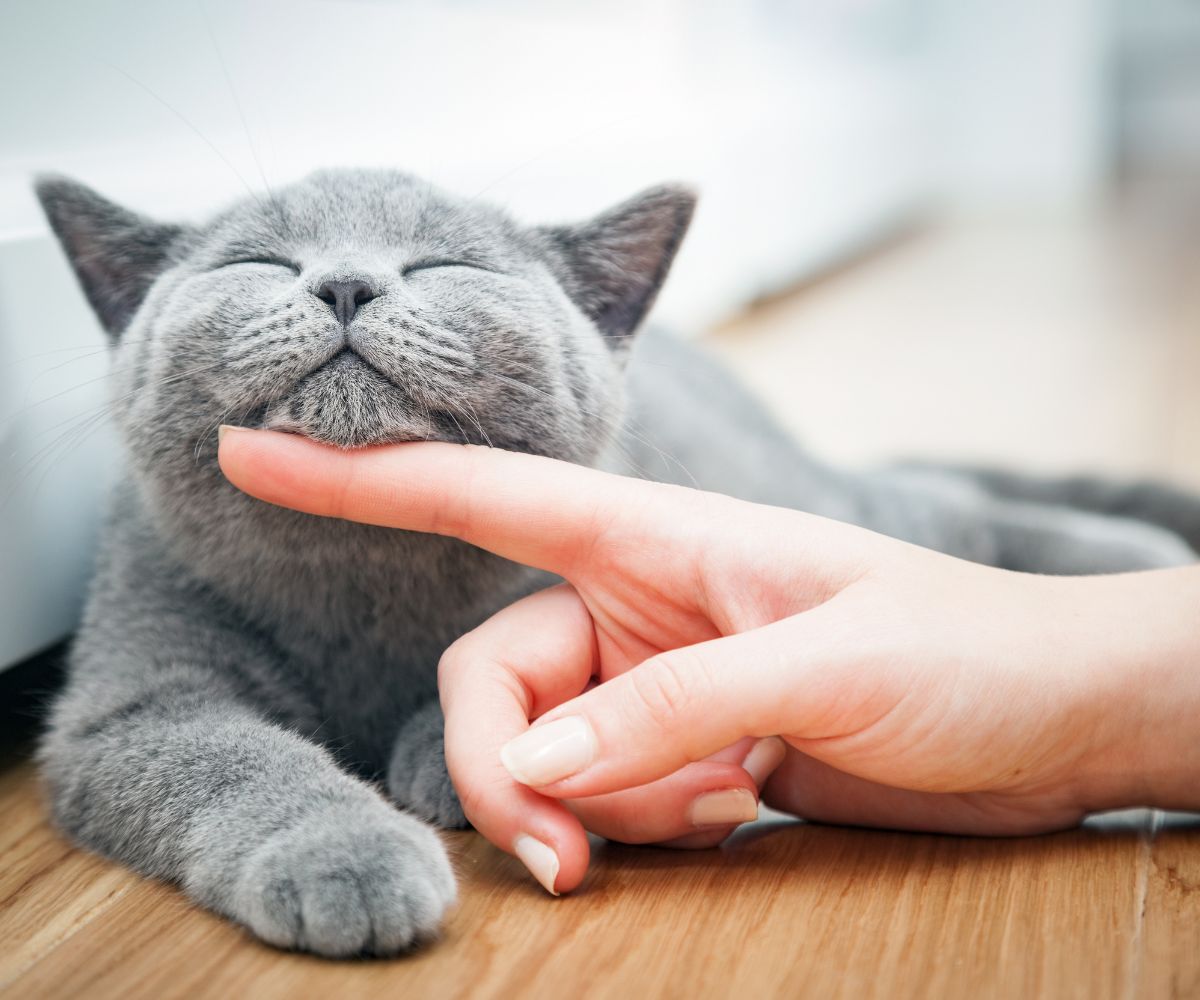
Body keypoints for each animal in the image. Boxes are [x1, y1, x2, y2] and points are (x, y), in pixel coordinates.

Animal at [32, 168, 1195, 955]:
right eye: (258, 263)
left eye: (448, 265)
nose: (347, 284)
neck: (360, 575)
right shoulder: (132, 700)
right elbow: (234, 757)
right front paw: (347, 856)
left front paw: (441, 753)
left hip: (796, 495)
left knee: (937, 508)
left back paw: (1134, 558)